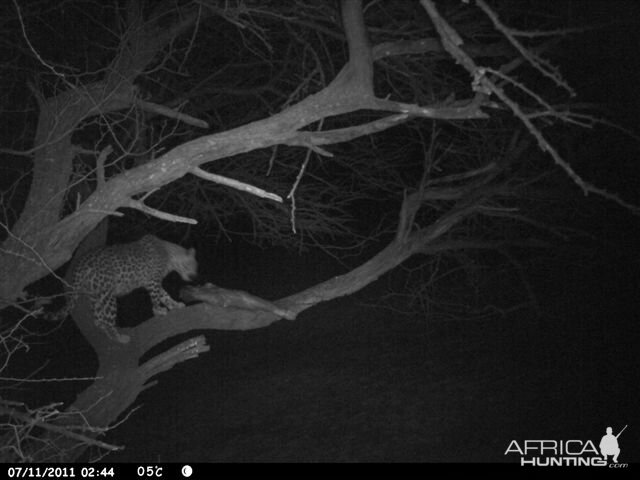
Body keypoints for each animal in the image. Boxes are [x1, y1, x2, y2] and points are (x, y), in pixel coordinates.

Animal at [48, 234, 198, 344]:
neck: (170, 255)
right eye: (193, 265)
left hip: (95, 294)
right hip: (108, 295)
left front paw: (175, 305)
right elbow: (156, 297)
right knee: (107, 320)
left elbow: (165, 295)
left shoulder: (153, 282)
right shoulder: (153, 281)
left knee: (98, 319)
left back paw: (107, 332)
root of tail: (81, 262)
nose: (194, 276)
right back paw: (119, 338)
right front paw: (158, 311)